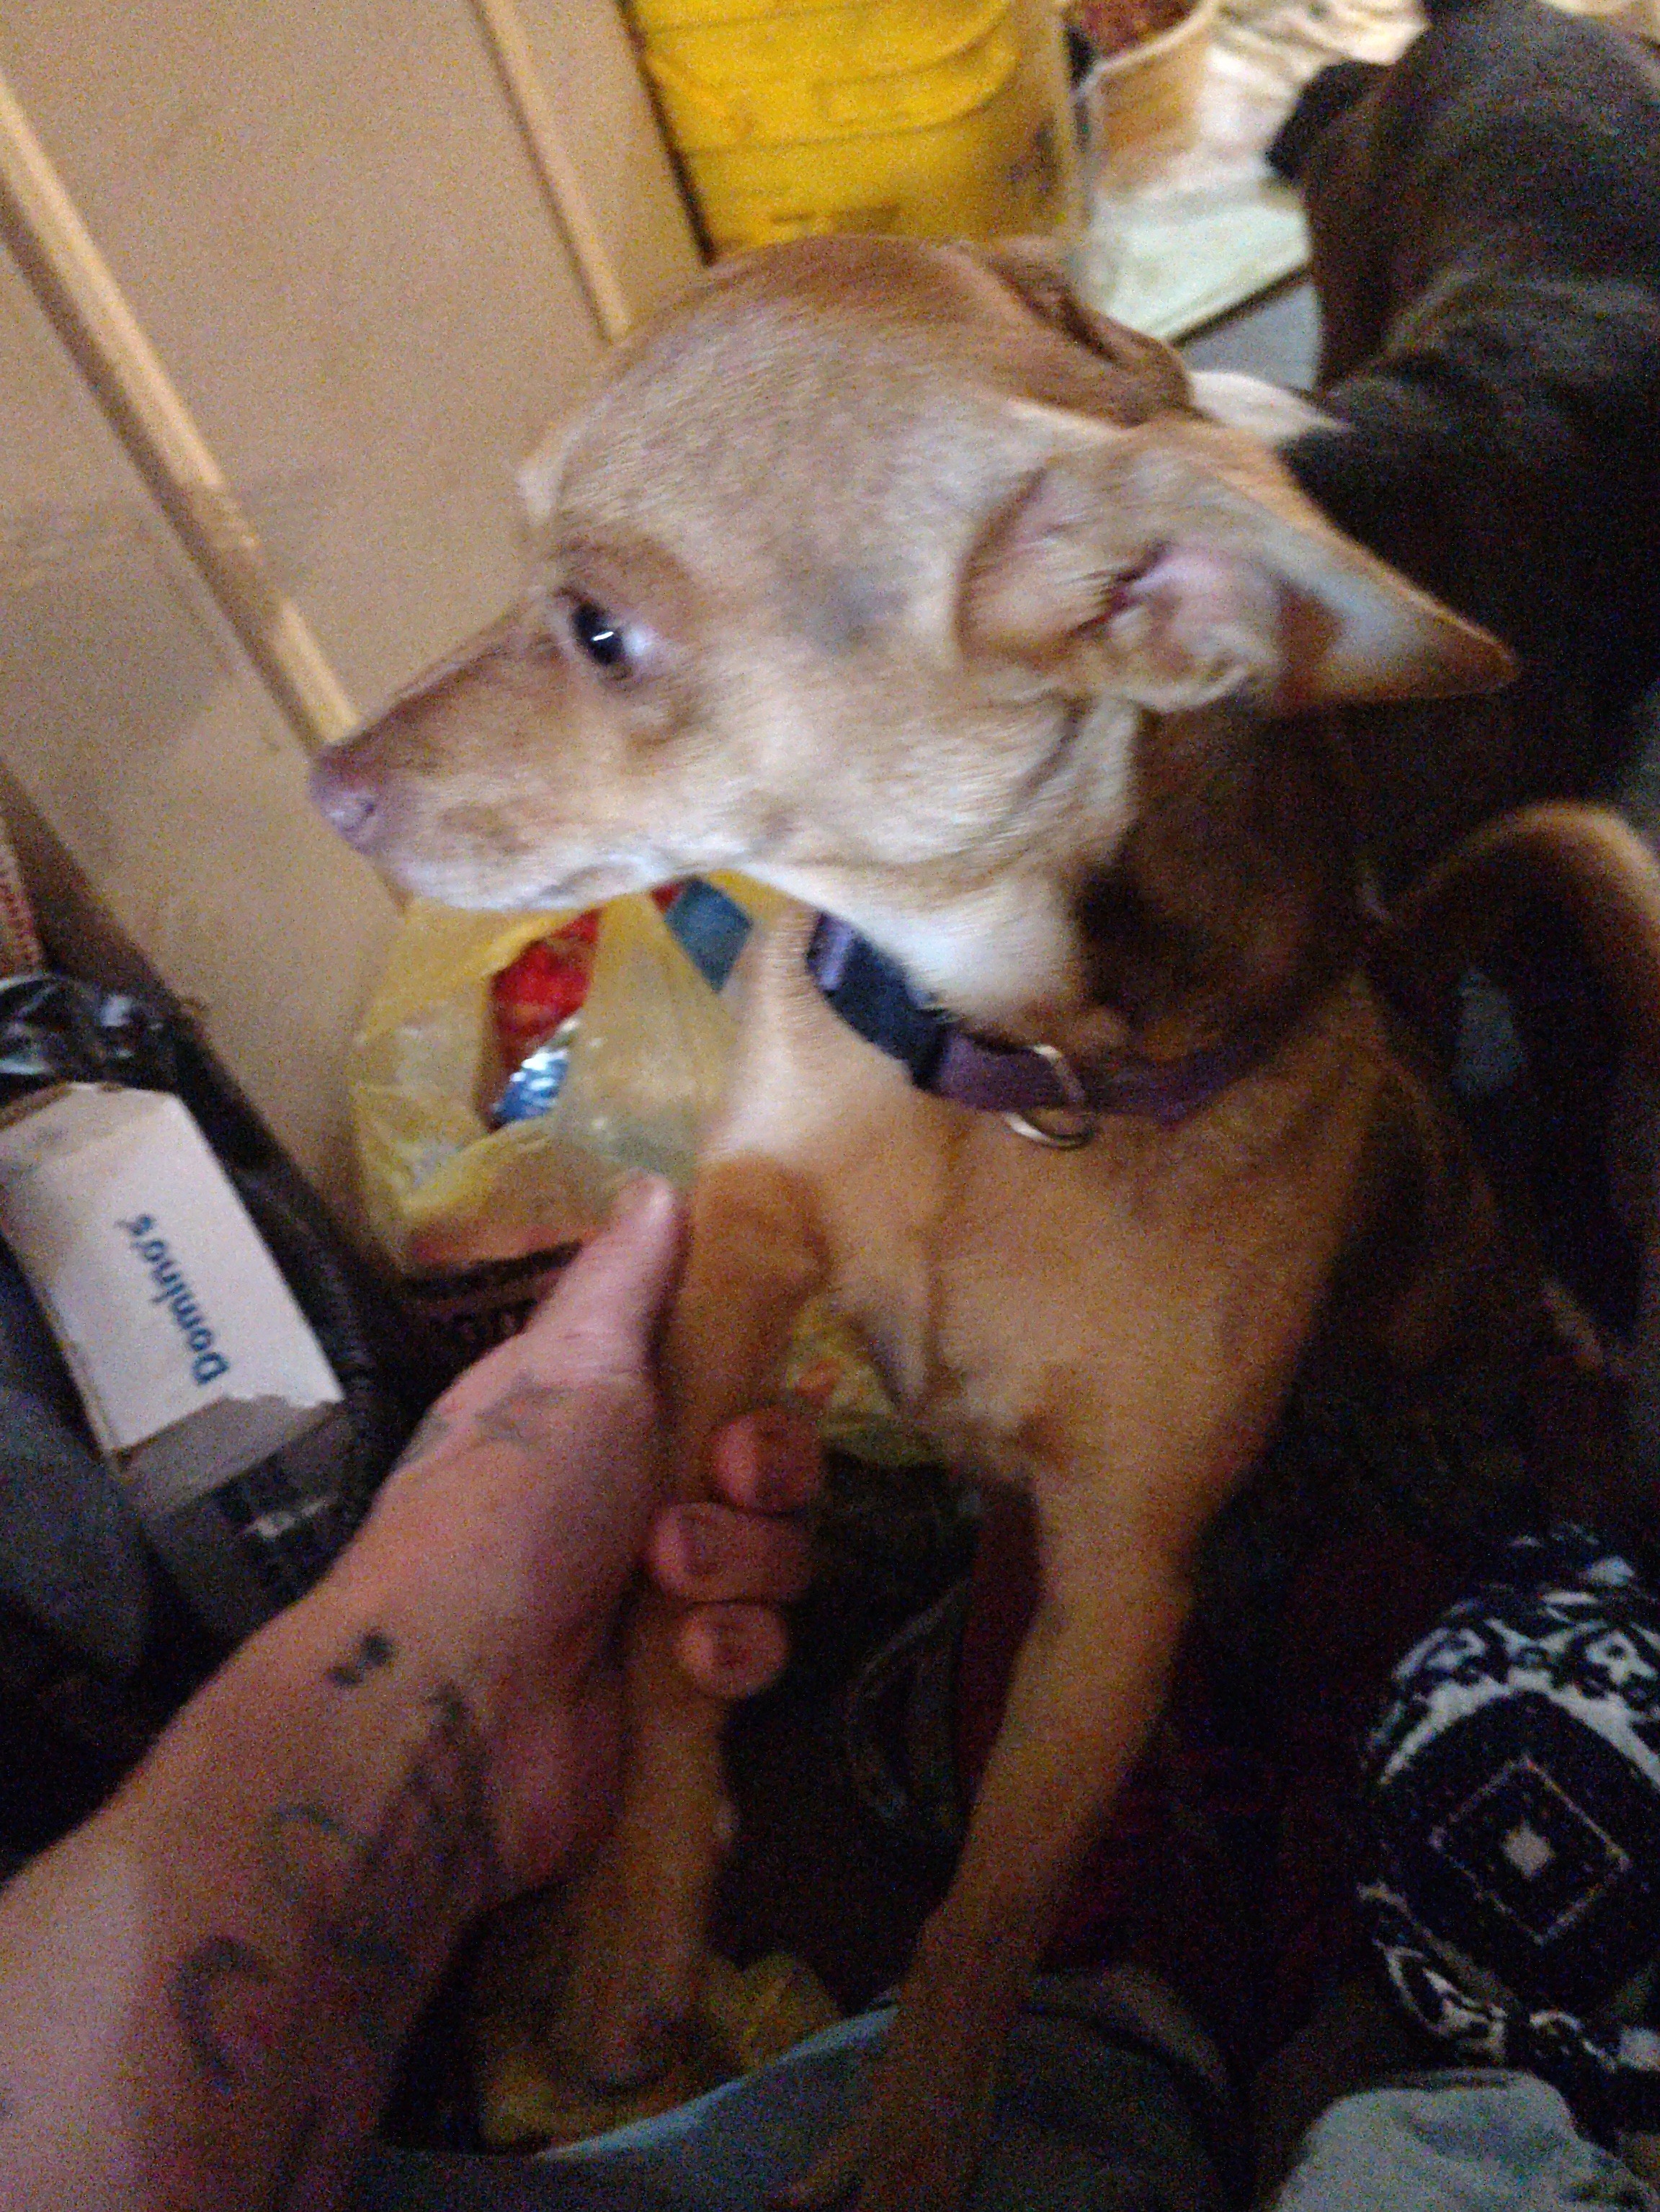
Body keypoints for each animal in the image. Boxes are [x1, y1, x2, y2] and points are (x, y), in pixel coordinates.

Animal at [312, 234, 1535, 2209]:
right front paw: (627, 1934)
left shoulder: (1125, 1585)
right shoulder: (728, 1258)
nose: (325, 783)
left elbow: (990, 1910)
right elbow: (653, 1580)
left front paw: (900, 2149)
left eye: (600, 629)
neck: (986, 1072)